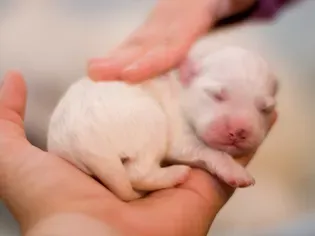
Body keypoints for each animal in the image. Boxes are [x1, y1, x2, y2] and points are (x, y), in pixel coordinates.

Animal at [47, 45, 278, 201]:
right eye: (217, 96)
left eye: (265, 109)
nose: (239, 131)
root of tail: (87, 145)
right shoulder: (179, 133)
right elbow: (210, 151)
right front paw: (235, 171)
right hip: (151, 126)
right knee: (137, 173)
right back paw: (176, 174)